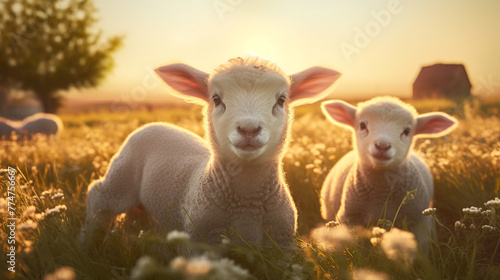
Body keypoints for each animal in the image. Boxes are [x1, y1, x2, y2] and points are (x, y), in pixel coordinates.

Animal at [80, 57, 342, 247]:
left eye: (281, 100)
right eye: (216, 99)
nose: (248, 129)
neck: (246, 204)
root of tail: (155, 124)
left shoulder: (282, 242)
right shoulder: (201, 238)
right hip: (121, 177)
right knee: (98, 196)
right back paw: (87, 243)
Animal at [320, 96, 458, 249]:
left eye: (407, 131)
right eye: (362, 125)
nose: (382, 146)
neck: (381, 194)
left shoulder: (420, 220)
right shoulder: (349, 216)